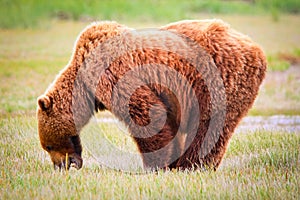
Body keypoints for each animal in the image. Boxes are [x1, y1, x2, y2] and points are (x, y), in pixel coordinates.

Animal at [37, 19, 268, 171]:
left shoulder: (113, 72)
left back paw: (192, 165)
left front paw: (155, 166)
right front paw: (168, 161)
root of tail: (257, 50)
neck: (85, 86)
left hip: (218, 79)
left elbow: (147, 114)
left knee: (210, 126)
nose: (62, 166)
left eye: (48, 145)